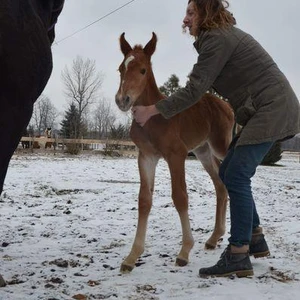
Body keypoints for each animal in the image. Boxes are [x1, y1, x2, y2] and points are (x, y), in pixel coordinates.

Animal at [115, 32, 234, 272]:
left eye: (143, 70)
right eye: (121, 69)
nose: (122, 100)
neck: (153, 119)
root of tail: (227, 106)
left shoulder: (176, 155)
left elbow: (180, 197)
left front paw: (184, 251)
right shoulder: (146, 156)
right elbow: (144, 200)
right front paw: (132, 257)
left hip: (220, 147)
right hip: (203, 152)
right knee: (220, 185)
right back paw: (214, 237)